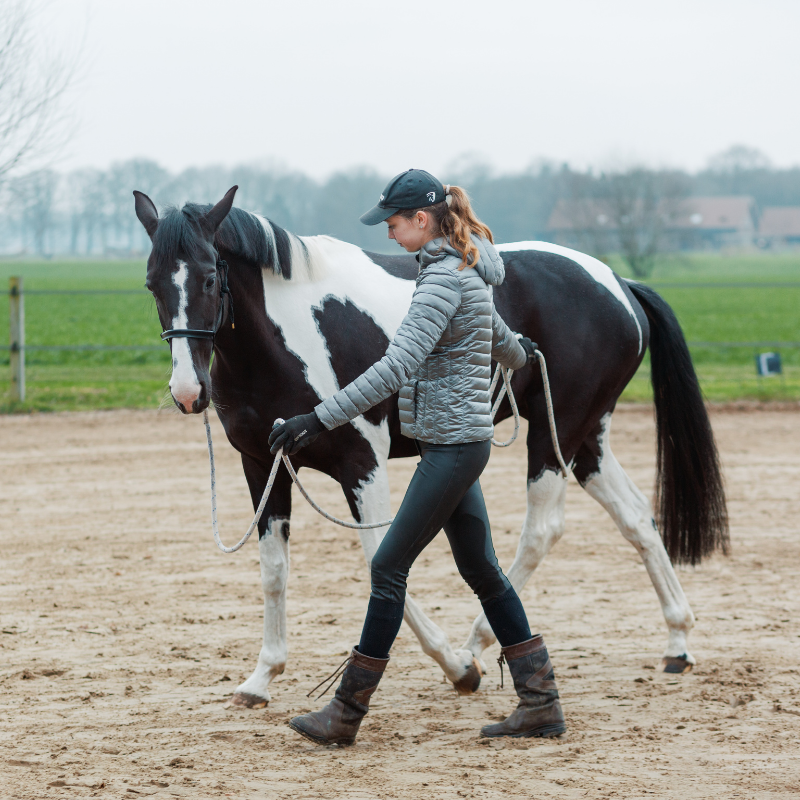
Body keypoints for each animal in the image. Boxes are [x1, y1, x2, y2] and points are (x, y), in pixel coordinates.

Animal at [134, 186, 728, 708]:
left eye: (211, 276)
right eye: (151, 284)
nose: (187, 392)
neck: (285, 339)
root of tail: (619, 283)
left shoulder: (362, 464)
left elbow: (379, 558)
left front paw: (456, 666)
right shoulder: (264, 464)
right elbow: (274, 570)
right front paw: (262, 677)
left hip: (555, 433)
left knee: (541, 532)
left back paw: (477, 643)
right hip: (583, 440)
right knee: (636, 517)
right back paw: (677, 640)